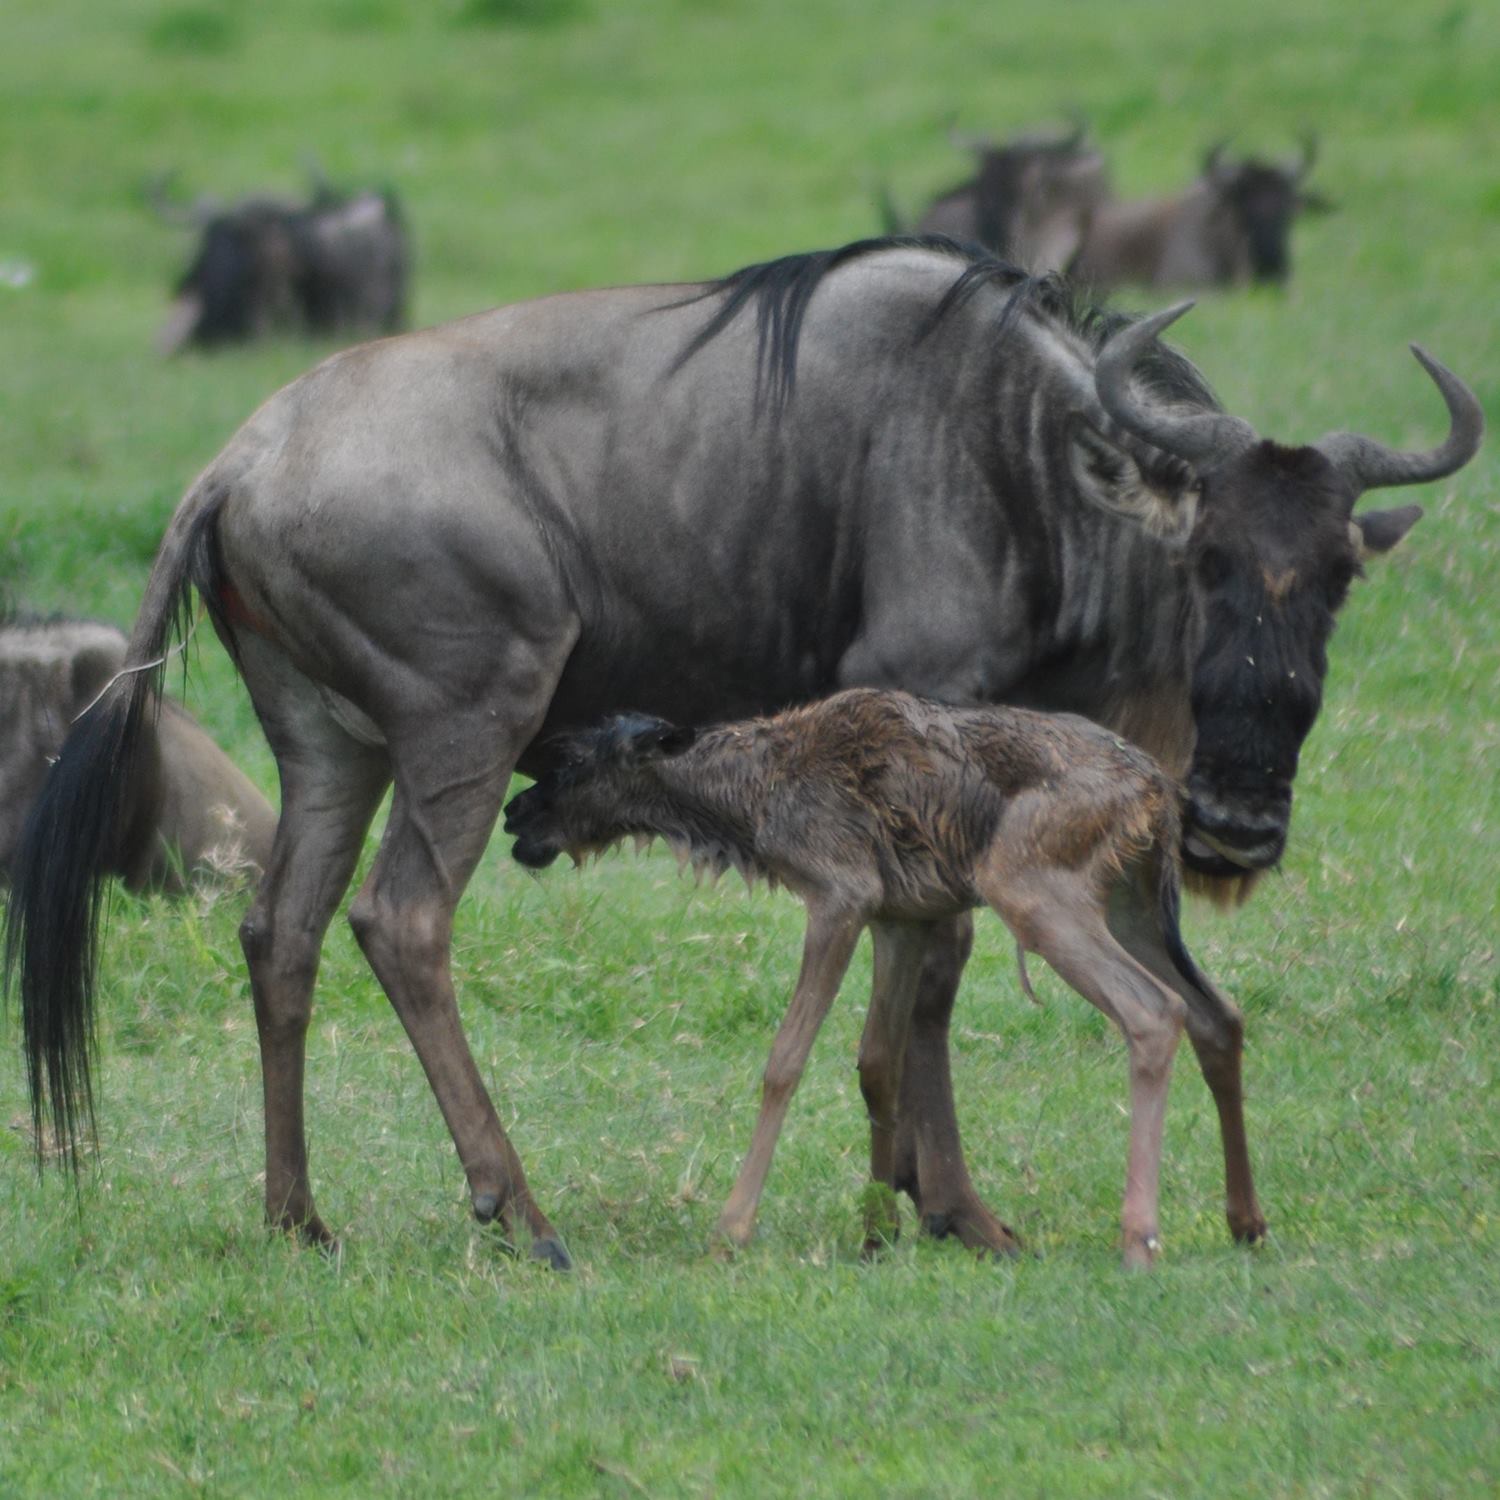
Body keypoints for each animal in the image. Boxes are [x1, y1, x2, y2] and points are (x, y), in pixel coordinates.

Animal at [507, 690, 1266, 1266]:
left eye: (572, 761)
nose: (515, 813)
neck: (746, 809)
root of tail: (1160, 792)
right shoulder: (900, 917)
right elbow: (878, 1064)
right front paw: (876, 1232)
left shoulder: (841, 894)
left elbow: (785, 1061)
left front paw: (732, 1228)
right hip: (1132, 903)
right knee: (1218, 1013)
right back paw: (1246, 1220)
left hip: (1029, 886)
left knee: (1153, 1012)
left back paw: (1139, 1236)